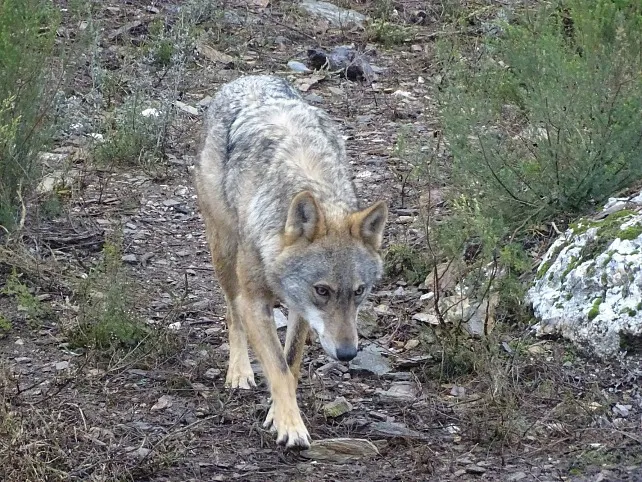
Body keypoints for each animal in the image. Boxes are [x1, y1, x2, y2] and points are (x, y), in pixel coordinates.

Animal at [194, 75, 387, 449]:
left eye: (359, 291)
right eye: (322, 291)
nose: (348, 354)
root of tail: (249, 77)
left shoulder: (300, 308)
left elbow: (291, 363)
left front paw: (277, 413)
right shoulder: (255, 302)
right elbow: (278, 369)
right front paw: (291, 426)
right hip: (223, 253)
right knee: (232, 312)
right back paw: (239, 372)